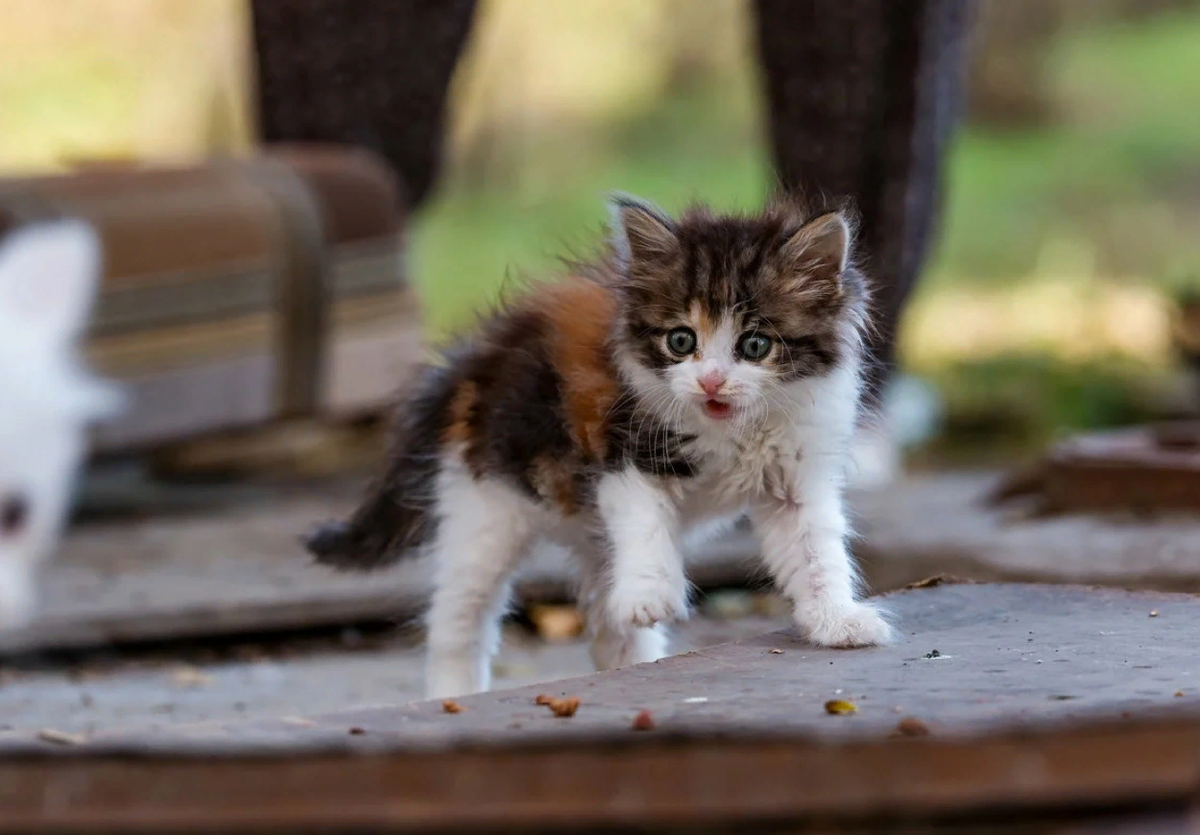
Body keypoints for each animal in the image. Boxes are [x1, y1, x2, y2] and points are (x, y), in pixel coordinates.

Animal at [307, 194, 892, 695]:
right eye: (681, 341)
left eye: (755, 346)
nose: (711, 382)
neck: (731, 433)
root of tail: (476, 356)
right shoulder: (622, 455)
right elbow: (646, 522)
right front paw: (651, 594)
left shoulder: (796, 480)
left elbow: (816, 553)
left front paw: (838, 621)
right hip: (486, 508)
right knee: (460, 618)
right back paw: (454, 694)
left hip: (587, 538)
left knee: (607, 617)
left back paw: (633, 660)